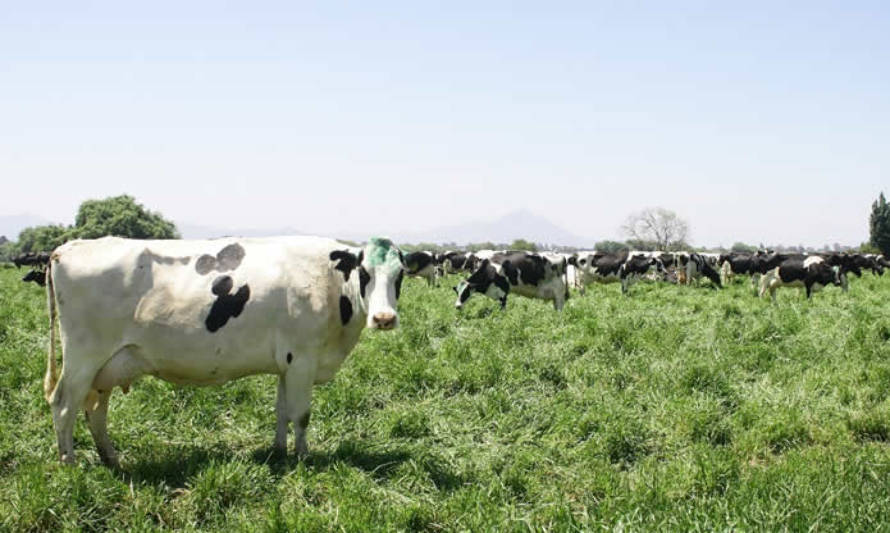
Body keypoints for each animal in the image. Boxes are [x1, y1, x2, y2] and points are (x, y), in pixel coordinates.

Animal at [40, 235, 402, 464]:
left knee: (94, 409)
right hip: (83, 358)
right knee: (63, 405)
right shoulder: (302, 359)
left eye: (400, 275)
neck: (329, 281)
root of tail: (67, 247)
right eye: (364, 273)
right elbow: (301, 414)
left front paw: (279, 453)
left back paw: (111, 458)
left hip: (108, 366)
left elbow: (282, 410)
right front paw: (303, 459)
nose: (384, 318)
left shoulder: (286, 363)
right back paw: (69, 463)